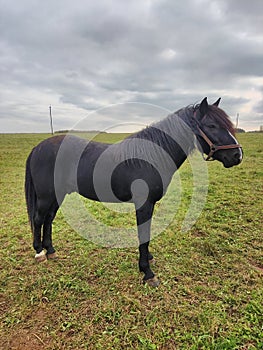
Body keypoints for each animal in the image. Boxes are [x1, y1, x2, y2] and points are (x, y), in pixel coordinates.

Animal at [25, 98, 243, 288]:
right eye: (212, 125)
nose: (237, 155)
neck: (150, 157)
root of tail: (37, 148)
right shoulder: (144, 204)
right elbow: (143, 235)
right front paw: (147, 273)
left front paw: (148, 261)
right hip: (45, 196)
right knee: (38, 219)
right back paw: (40, 253)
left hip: (57, 195)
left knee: (48, 219)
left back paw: (51, 251)